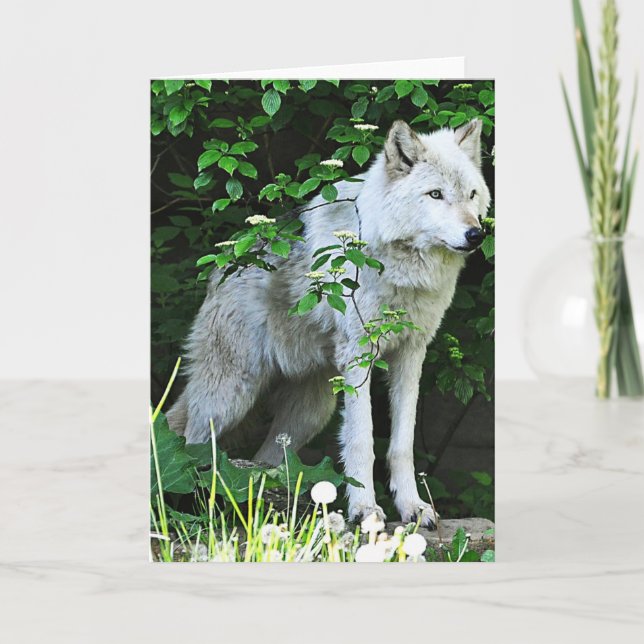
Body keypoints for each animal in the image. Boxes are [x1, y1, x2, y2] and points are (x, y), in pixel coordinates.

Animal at [166, 119, 490, 527]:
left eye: (471, 195)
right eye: (435, 194)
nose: (476, 234)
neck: (400, 267)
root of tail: (226, 262)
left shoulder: (411, 356)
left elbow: (401, 445)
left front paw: (413, 508)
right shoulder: (360, 357)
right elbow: (362, 441)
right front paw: (365, 510)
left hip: (309, 415)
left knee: (265, 462)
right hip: (229, 397)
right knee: (191, 444)